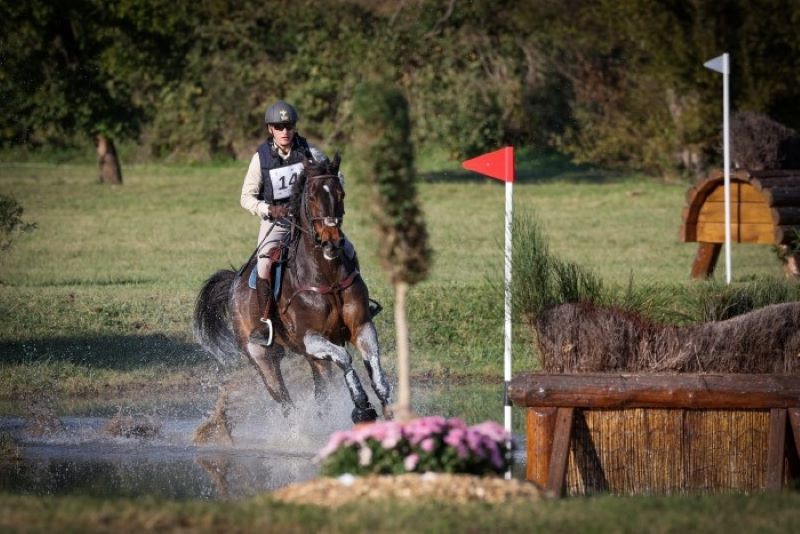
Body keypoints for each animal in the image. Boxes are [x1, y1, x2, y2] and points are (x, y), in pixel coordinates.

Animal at [194, 155, 394, 428]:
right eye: (311, 196)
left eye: (341, 193)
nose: (332, 241)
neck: (326, 275)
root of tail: (234, 283)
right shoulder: (310, 337)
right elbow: (345, 357)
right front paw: (363, 408)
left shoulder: (361, 326)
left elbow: (377, 372)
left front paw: (391, 411)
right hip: (262, 358)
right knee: (285, 402)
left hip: (313, 359)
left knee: (321, 395)